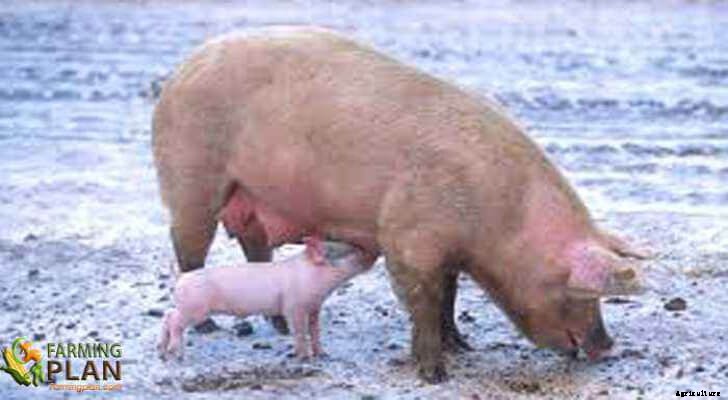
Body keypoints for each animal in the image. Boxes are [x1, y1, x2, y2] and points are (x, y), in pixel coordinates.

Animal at [157, 239, 367, 360]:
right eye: (346, 251)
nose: (366, 250)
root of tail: (181, 277)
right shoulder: (294, 306)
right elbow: (299, 331)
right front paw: (305, 358)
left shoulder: (315, 306)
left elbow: (315, 330)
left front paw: (323, 354)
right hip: (194, 309)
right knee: (174, 321)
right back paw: (176, 354)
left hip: (187, 307)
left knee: (168, 314)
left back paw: (162, 351)